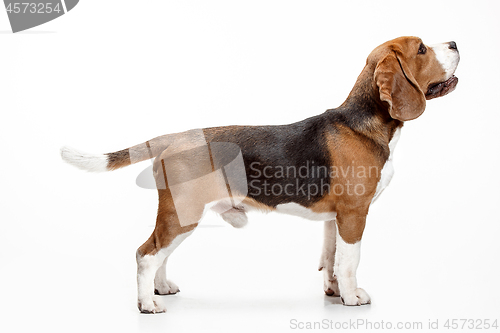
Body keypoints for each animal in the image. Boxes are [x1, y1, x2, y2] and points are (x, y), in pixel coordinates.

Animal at [60, 36, 458, 312]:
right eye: (422, 49)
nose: (455, 43)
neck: (362, 121)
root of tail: (175, 137)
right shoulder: (354, 214)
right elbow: (350, 261)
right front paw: (352, 297)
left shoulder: (335, 219)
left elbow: (331, 259)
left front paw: (333, 293)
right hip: (182, 215)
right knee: (146, 254)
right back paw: (148, 304)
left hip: (179, 217)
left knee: (160, 254)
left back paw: (162, 288)